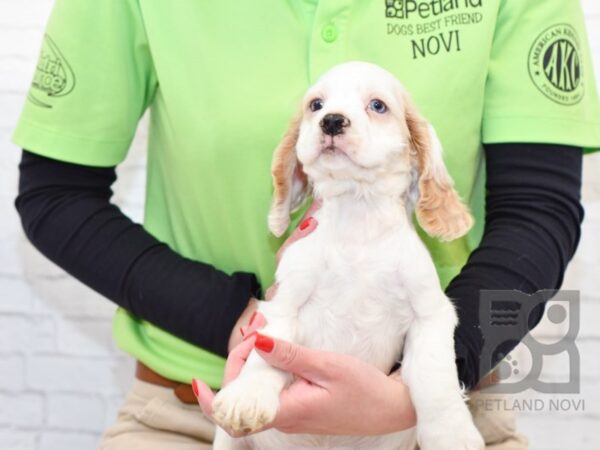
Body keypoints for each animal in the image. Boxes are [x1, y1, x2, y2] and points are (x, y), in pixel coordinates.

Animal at [211, 60, 482, 450]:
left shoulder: (430, 314)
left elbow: (435, 376)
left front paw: (452, 432)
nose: (333, 121)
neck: (359, 222)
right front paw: (248, 395)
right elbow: (268, 348)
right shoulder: (285, 303)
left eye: (378, 105)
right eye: (316, 105)